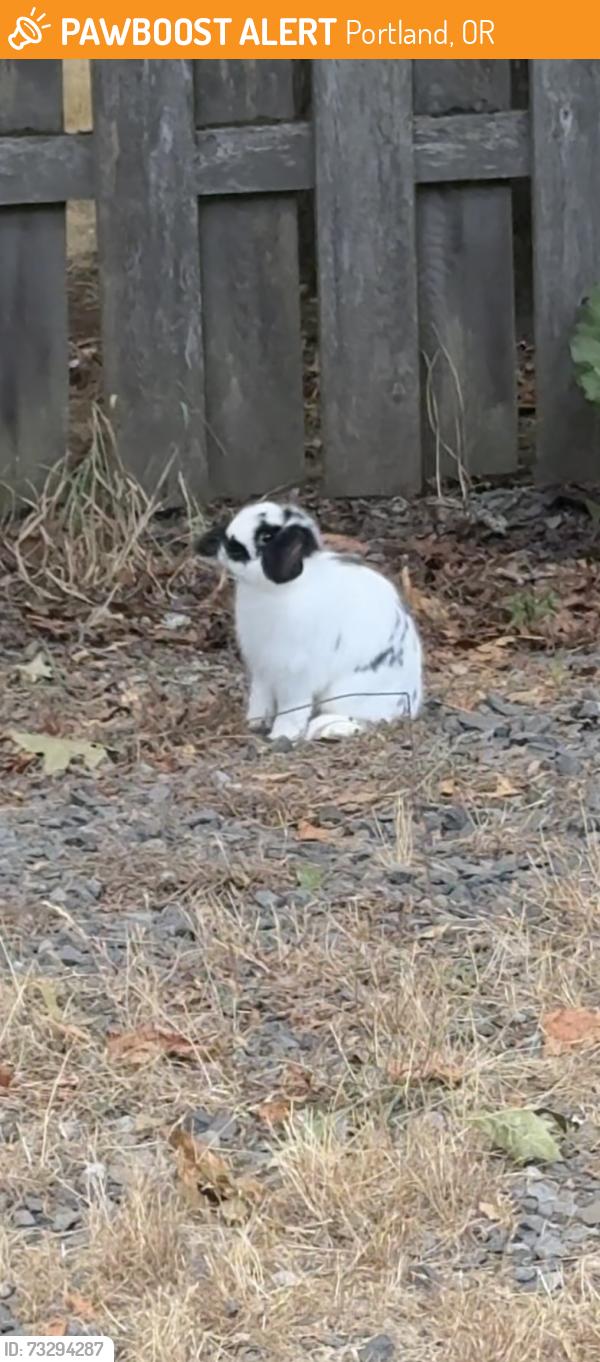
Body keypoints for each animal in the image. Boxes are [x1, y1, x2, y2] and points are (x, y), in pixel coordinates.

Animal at [196, 500, 423, 743]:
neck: (275, 591)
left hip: (346, 694)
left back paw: (324, 728)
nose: (228, 544)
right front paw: (255, 722)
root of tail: (409, 703)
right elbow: (260, 697)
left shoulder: (295, 675)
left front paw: (281, 735)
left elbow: (291, 708)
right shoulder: (262, 669)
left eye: (266, 537)